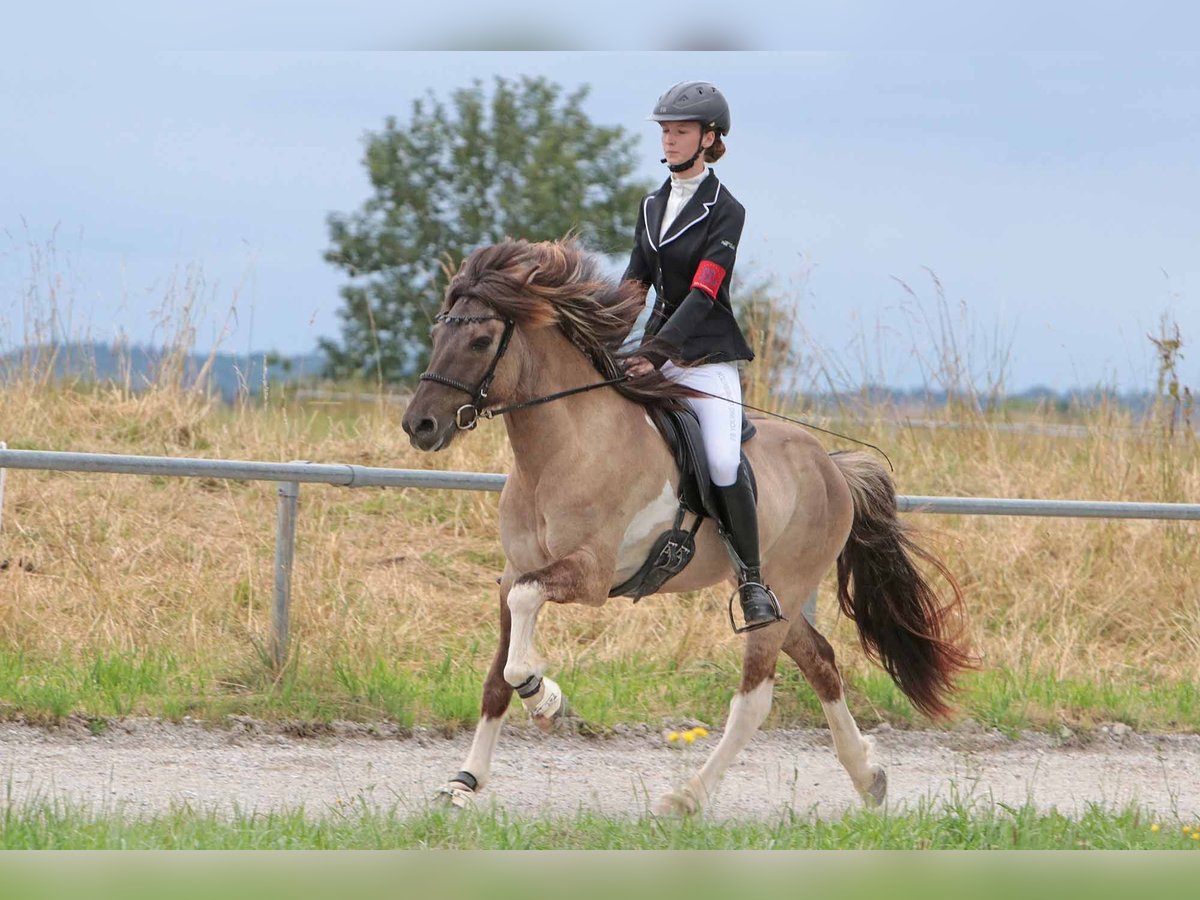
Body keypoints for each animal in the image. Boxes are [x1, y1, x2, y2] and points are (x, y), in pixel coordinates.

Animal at [398, 240, 969, 816]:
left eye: (480, 340)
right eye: (437, 335)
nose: (419, 425)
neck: (561, 450)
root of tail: (831, 466)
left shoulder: (590, 576)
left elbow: (521, 637)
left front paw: (545, 698)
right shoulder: (515, 571)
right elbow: (497, 675)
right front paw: (464, 780)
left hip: (782, 590)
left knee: (755, 699)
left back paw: (687, 797)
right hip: (781, 600)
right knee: (822, 662)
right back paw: (868, 775)